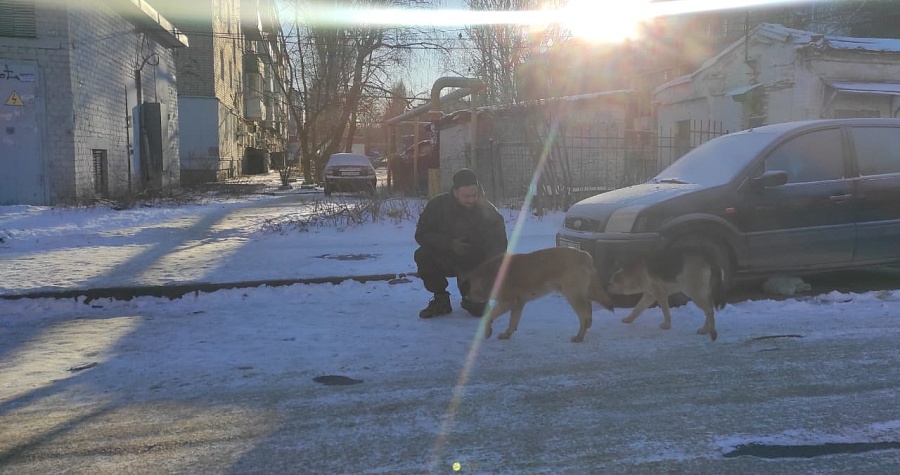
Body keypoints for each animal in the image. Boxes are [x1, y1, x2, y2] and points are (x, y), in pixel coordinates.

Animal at [460, 247, 616, 344]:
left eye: (465, 291)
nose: (462, 302)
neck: (489, 276)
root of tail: (586, 256)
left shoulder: (508, 302)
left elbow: (489, 316)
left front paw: (488, 331)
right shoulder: (518, 304)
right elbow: (513, 322)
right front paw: (507, 334)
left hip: (573, 295)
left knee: (584, 315)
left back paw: (579, 336)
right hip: (577, 294)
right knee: (588, 307)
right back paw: (587, 327)